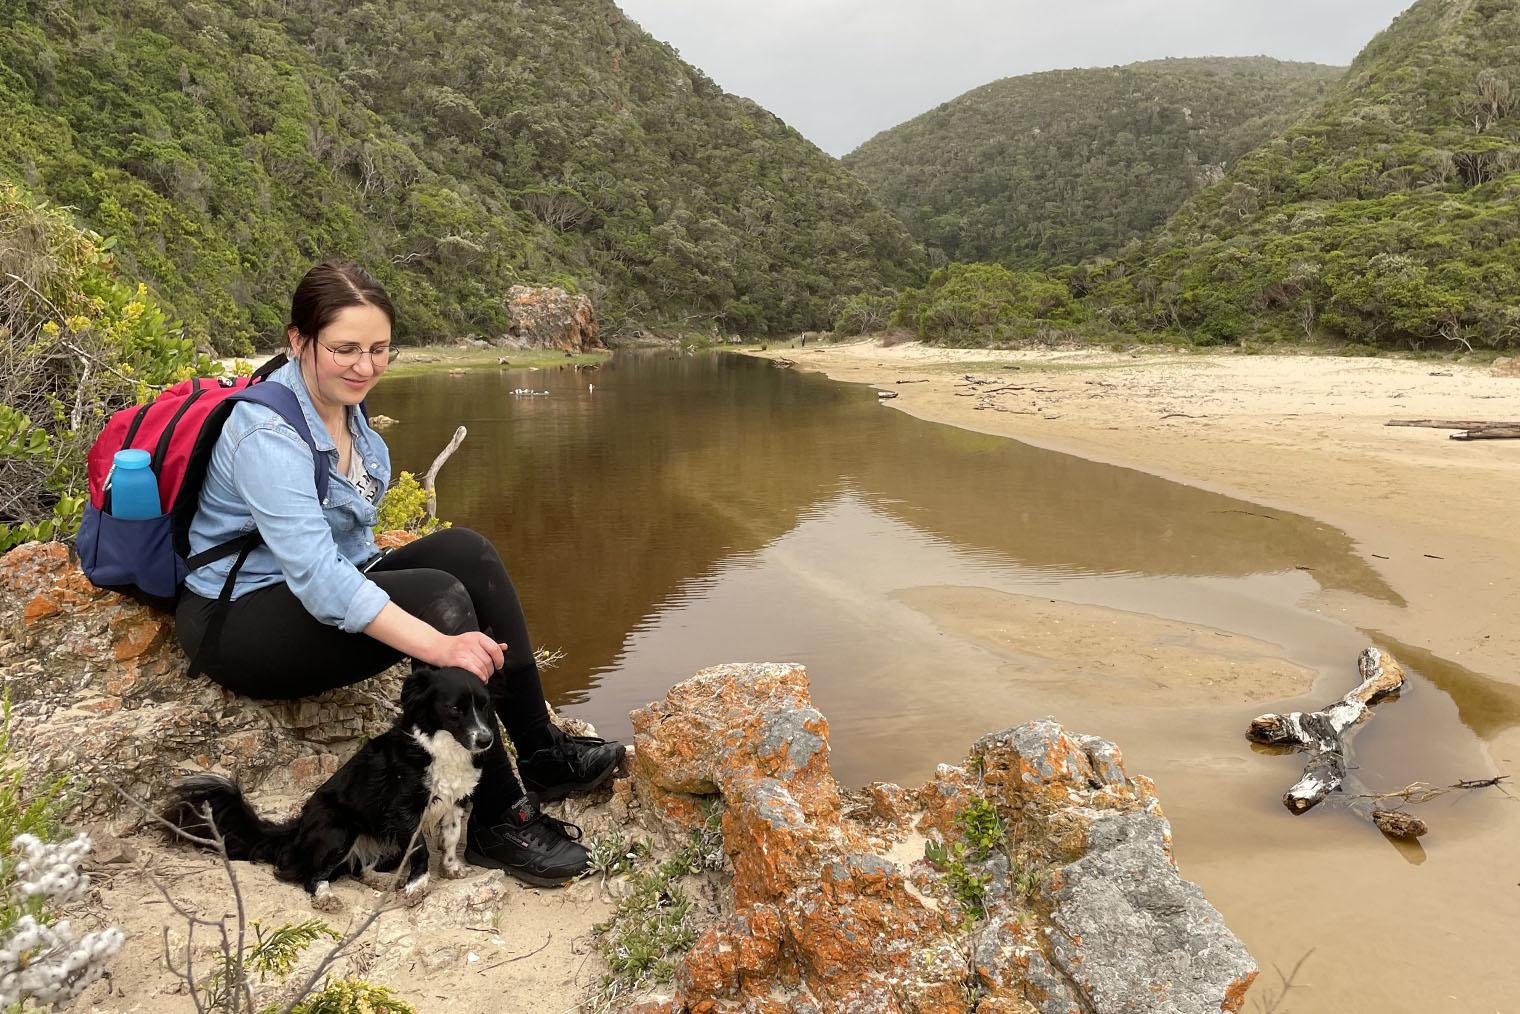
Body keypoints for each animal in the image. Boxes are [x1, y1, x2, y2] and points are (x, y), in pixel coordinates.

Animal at [168, 668, 495, 906]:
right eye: (455, 708)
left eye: (484, 706)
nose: (486, 740)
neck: (444, 749)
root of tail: (296, 830)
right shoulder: (404, 810)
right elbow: (419, 849)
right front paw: (418, 885)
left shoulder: (455, 802)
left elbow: (451, 837)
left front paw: (451, 868)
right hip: (339, 829)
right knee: (303, 875)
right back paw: (326, 896)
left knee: (359, 868)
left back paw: (379, 879)